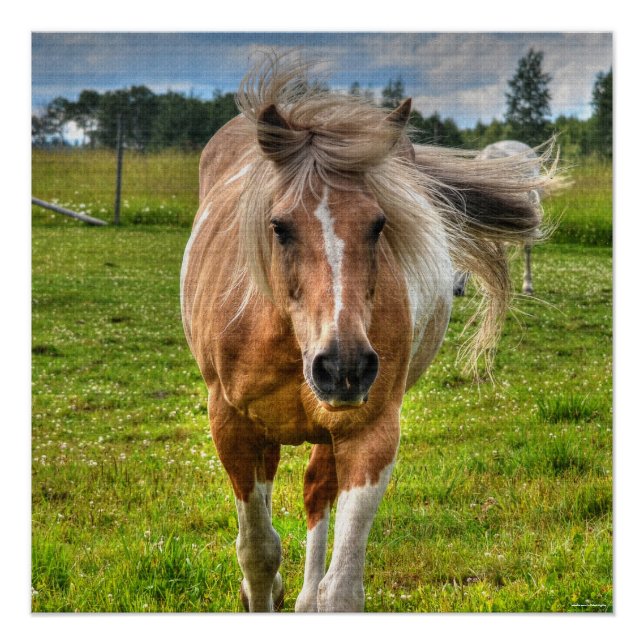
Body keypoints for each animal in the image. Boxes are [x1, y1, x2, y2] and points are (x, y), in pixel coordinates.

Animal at [180, 56, 555, 612]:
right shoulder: (232, 426)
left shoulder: (371, 431)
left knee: (316, 493)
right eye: (279, 226)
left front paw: (315, 594)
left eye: (379, 224)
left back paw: (304, 597)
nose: (345, 367)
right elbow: (258, 553)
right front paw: (261, 588)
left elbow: (342, 587)